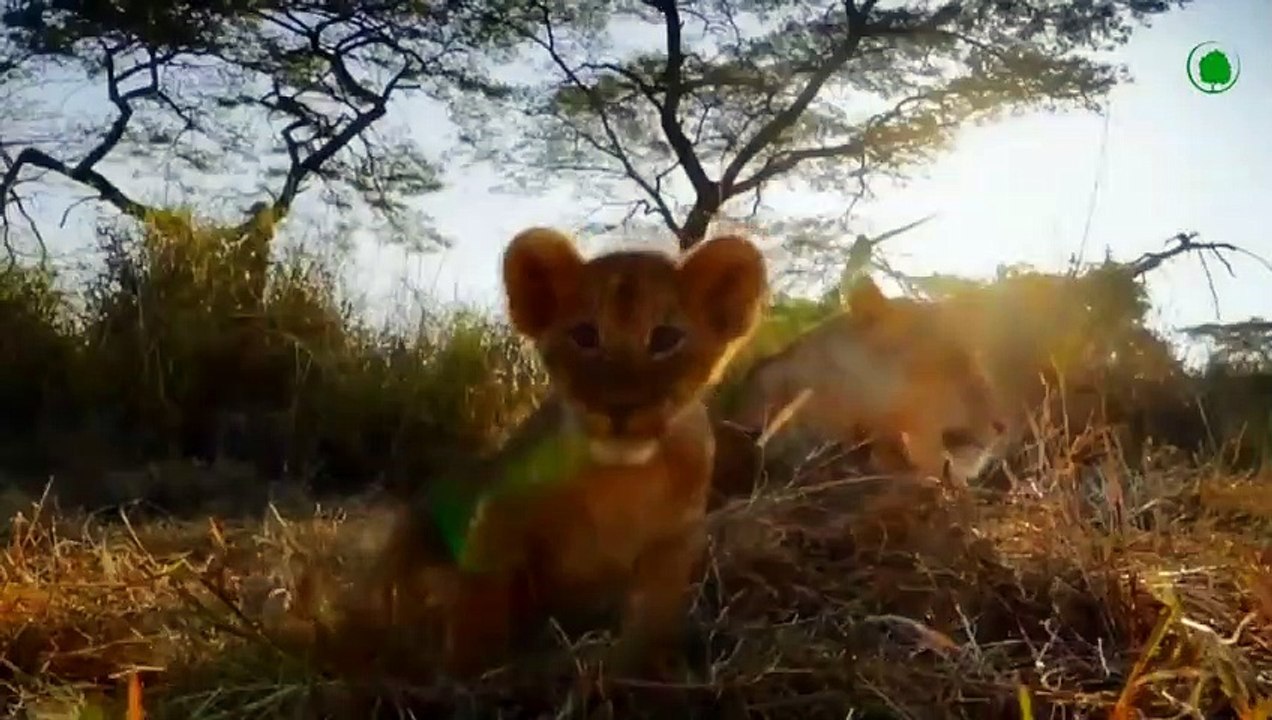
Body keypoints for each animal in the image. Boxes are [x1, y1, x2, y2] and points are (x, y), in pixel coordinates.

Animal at [367, 227, 767, 679]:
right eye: (585, 336)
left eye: (665, 339)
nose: (619, 405)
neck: (623, 480)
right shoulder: (497, 514)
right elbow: (480, 602)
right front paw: (471, 672)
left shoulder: (671, 545)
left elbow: (652, 619)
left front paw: (642, 668)